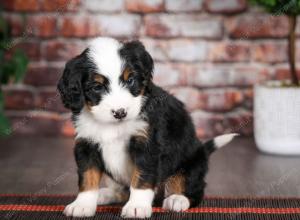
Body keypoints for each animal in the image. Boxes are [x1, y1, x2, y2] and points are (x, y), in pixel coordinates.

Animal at [58, 37, 237, 218]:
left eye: (130, 80)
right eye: (97, 87)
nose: (120, 112)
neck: (114, 126)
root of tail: (203, 151)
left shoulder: (147, 144)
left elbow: (141, 178)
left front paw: (136, 206)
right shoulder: (86, 143)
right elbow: (87, 177)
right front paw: (82, 205)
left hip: (191, 163)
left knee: (193, 188)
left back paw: (177, 199)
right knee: (122, 190)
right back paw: (106, 194)